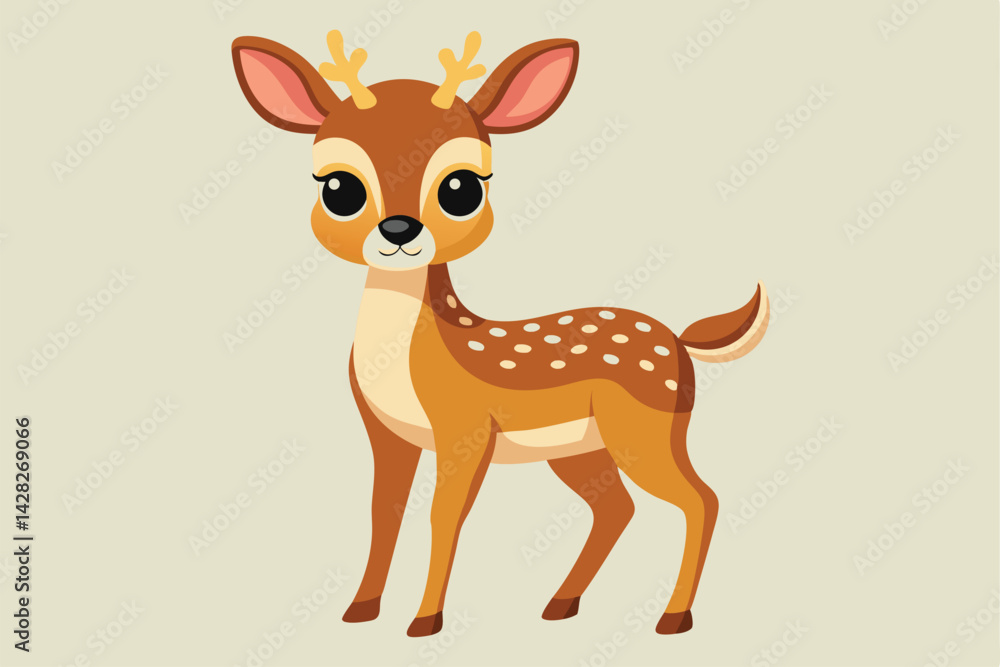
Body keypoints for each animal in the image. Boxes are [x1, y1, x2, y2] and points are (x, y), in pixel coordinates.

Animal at [231, 30, 769, 638]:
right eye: (339, 187)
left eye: (461, 187)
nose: (398, 230)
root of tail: (678, 339)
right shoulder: (385, 432)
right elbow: (381, 511)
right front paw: (360, 610)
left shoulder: (465, 429)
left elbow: (443, 515)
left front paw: (425, 620)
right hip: (581, 448)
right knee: (617, 509)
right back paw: (560, 605)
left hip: (647, 427)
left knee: (701, 499)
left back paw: (672, 618)